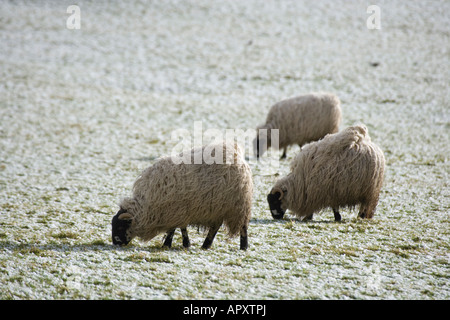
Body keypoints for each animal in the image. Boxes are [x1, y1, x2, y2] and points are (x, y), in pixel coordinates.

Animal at [110, 142, 253, 250]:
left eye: (120, 226)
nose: (115, 243)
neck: (146, 207)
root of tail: (238, 157)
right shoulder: (177, 212)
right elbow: (180, 228)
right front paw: (179, 244)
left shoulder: (176, 210)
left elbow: (175, 229)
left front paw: (171, 244)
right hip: (219, 207)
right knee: (215, 227)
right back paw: (206, 245)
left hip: (238, 206)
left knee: (243, 227)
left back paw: (243, 247)